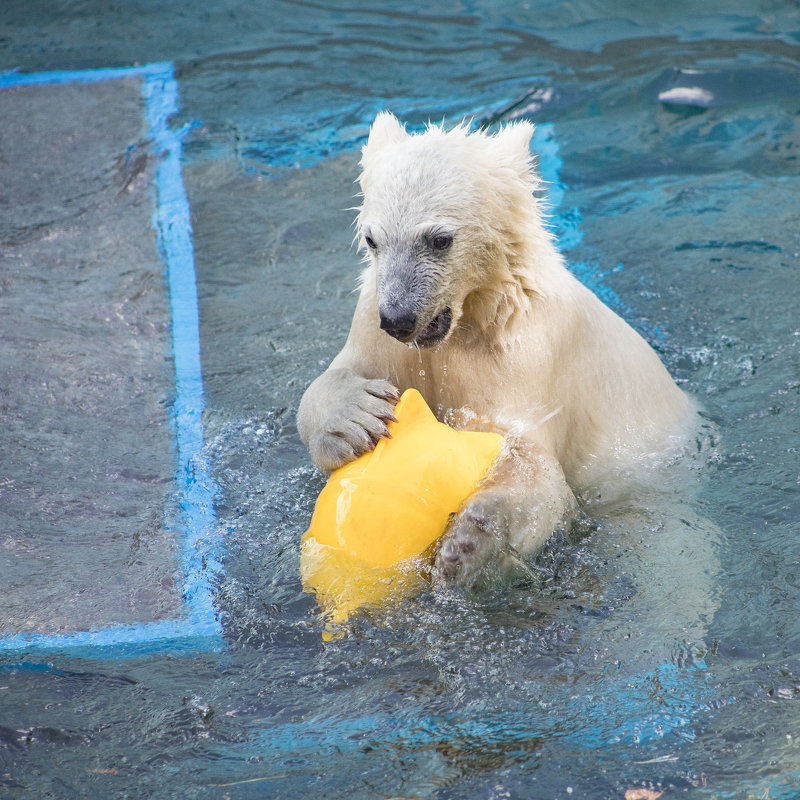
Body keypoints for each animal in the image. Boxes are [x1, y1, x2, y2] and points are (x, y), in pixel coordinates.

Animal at [294, 112, 692, 584]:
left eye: (440, 239)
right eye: (372, 238)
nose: (398, 319)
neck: (469, 321)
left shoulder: (528, 355)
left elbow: (533, 463)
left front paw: (470, 540)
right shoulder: (376, 326)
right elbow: (340, 373)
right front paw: (355, 417)